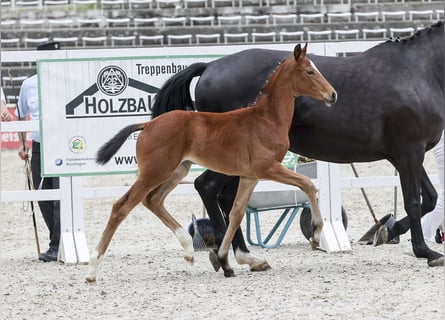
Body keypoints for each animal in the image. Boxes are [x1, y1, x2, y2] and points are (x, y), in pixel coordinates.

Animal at [86, 43, 336, 282]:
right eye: (310, 71)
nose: (332, 95)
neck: (266, 119)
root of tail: (147, 125)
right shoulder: (268, 169)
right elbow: (308, 184)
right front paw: (316, 234)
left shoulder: (249, 176)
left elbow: (236, 213)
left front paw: (226, 260)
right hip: (154, 172)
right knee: (122, 207)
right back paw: (92, 269)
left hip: (177, 170)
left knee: (153, 200)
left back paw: (188, 249)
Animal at [151, 21, 442, 268]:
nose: (332, 95)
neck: (418, 72)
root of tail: (210, 67)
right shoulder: (409, 152)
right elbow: (414, 202)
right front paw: (424, 251)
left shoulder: (404, 155)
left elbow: (430, 198)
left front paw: (387, 230)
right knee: (209, 188)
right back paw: (229, 256)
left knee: (226, 198)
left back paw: (243, 255)